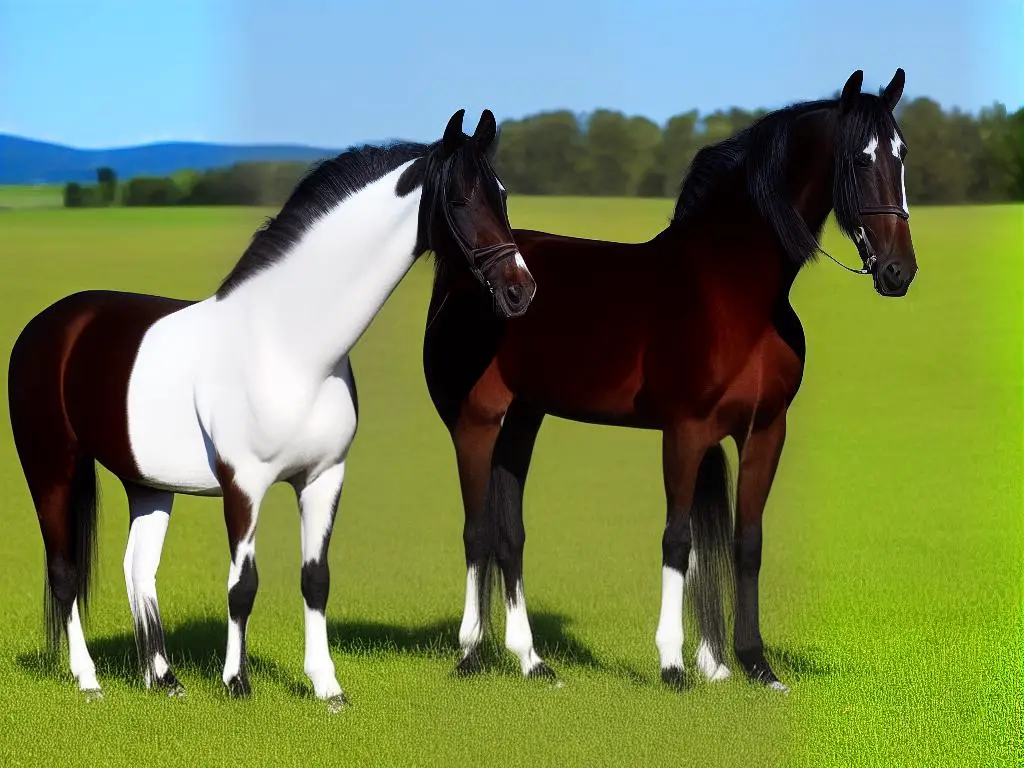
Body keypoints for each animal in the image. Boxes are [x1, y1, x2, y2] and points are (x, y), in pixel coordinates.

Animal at [9, 108, 536, 708]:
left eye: (502, 194)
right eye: (462, 199)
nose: (520, 291)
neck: (290, 347)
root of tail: (48, 325)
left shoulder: (324, 477)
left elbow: (315, 578)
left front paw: (327, 686)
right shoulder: (244, 484)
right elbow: (243, 585)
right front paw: (236, 682)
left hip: (146, 482)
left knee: (138, 570)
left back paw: (164, 679)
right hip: (52, 467)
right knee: (65, 570)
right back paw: (88, 679)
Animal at [421, 67, 921, 692]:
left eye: (902, 154)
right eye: (858, 157)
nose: (899, 271)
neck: (733, 291)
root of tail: (468, 272)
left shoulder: (766, 431)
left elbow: (746, 541)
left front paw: (755, 664)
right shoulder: (685, 430)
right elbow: (677, 539)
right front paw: (674, 662)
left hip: (523, 420)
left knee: (509, 533)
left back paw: (531, 661)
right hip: (477, 419)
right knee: (476, 531)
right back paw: (469, 654)